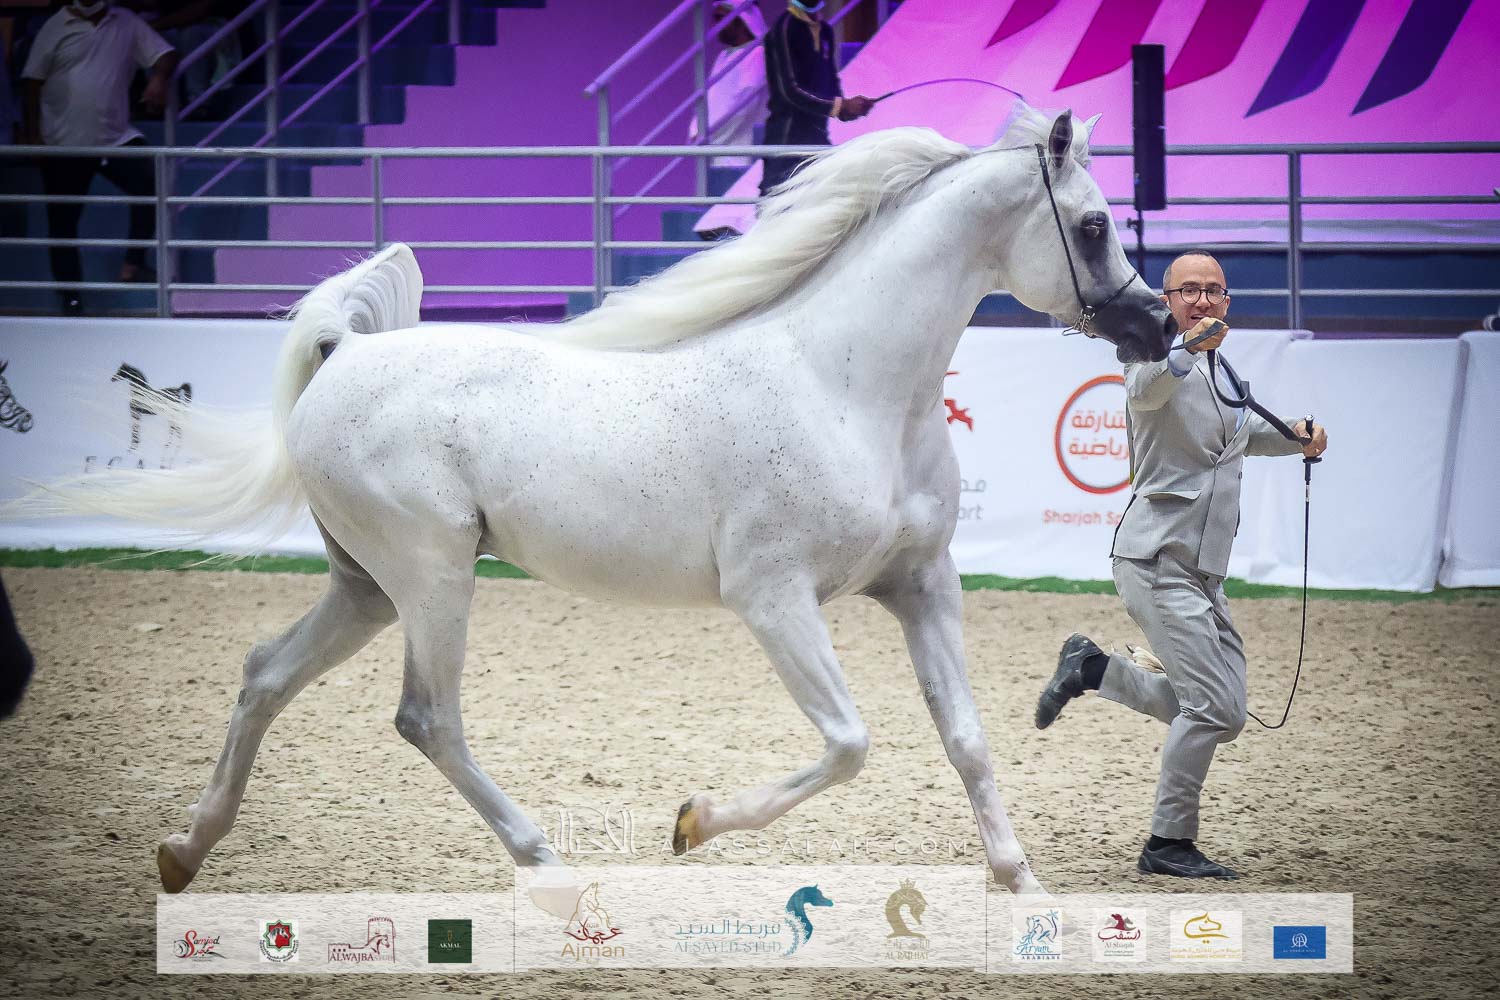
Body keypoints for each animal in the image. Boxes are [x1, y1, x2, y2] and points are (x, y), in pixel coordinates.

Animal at [20, 104, 1174, 899]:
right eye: (1092, 225)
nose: (1158, 325)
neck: (844, 384)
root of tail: (346, 354)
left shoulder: (923, 586)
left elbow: (967, 739)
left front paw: (1019, 881)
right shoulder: (775, 600)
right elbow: (849, 742)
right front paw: (691, 822)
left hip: (368, 588)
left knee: (265, 675)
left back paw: (183, 852)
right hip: (432, 577)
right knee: (427, 716)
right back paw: (547, 865)